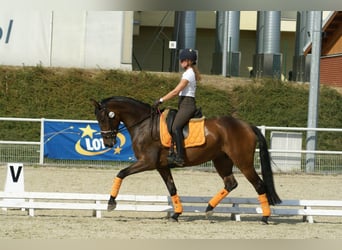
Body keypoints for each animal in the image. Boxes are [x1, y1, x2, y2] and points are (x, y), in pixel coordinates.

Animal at [91, 95, 280, 223]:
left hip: (243, 162)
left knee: (259, 185)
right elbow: (172, 188)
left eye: (103, 117)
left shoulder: (147, 162)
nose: (108, 143)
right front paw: (176, 214)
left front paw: (111, 203)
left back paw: (265, 217)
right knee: (230, 183)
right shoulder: (161, 166)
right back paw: (209, 208)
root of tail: (247, 125)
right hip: (222, 160)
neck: (143, 124)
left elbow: (121, 173)